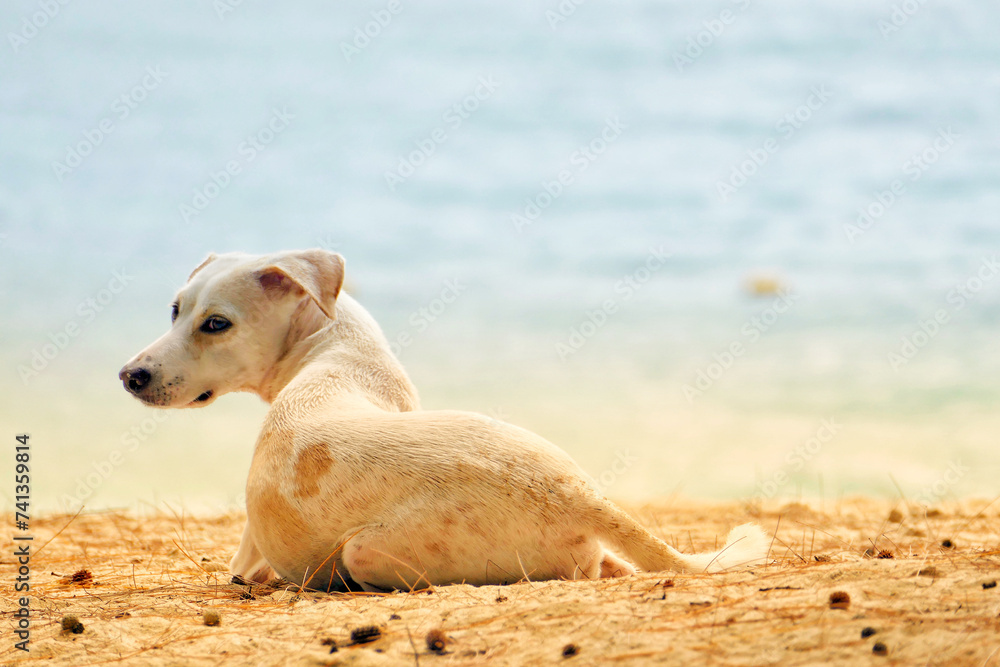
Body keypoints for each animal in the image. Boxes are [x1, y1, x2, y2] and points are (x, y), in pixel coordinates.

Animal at [119, 249, 772, 588]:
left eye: (217, 324)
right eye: (175, 309)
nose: (130, 375)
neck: (338, 347)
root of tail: (578, 495)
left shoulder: (248, 558)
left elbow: (242, 571)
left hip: (367, 553)